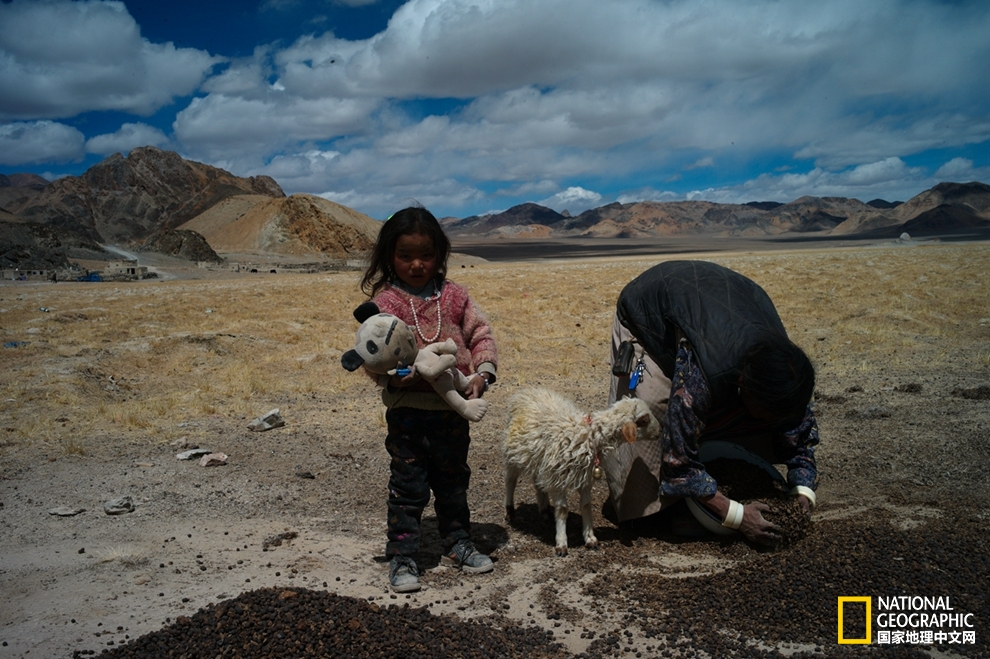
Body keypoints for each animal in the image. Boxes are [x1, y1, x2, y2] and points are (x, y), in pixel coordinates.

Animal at [508, 390, 664, 560]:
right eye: (644, 419)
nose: (660, 431)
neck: (590, 436)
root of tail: (527, 391)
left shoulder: (585, 479)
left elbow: (586, 506)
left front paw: (590, 539)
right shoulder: (558, 478)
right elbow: (562, 510)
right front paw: (561, 544)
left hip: (538, 459)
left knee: (538, 483)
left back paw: (544, 509)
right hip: (513, 453)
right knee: (510, 481)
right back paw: (509, 510)